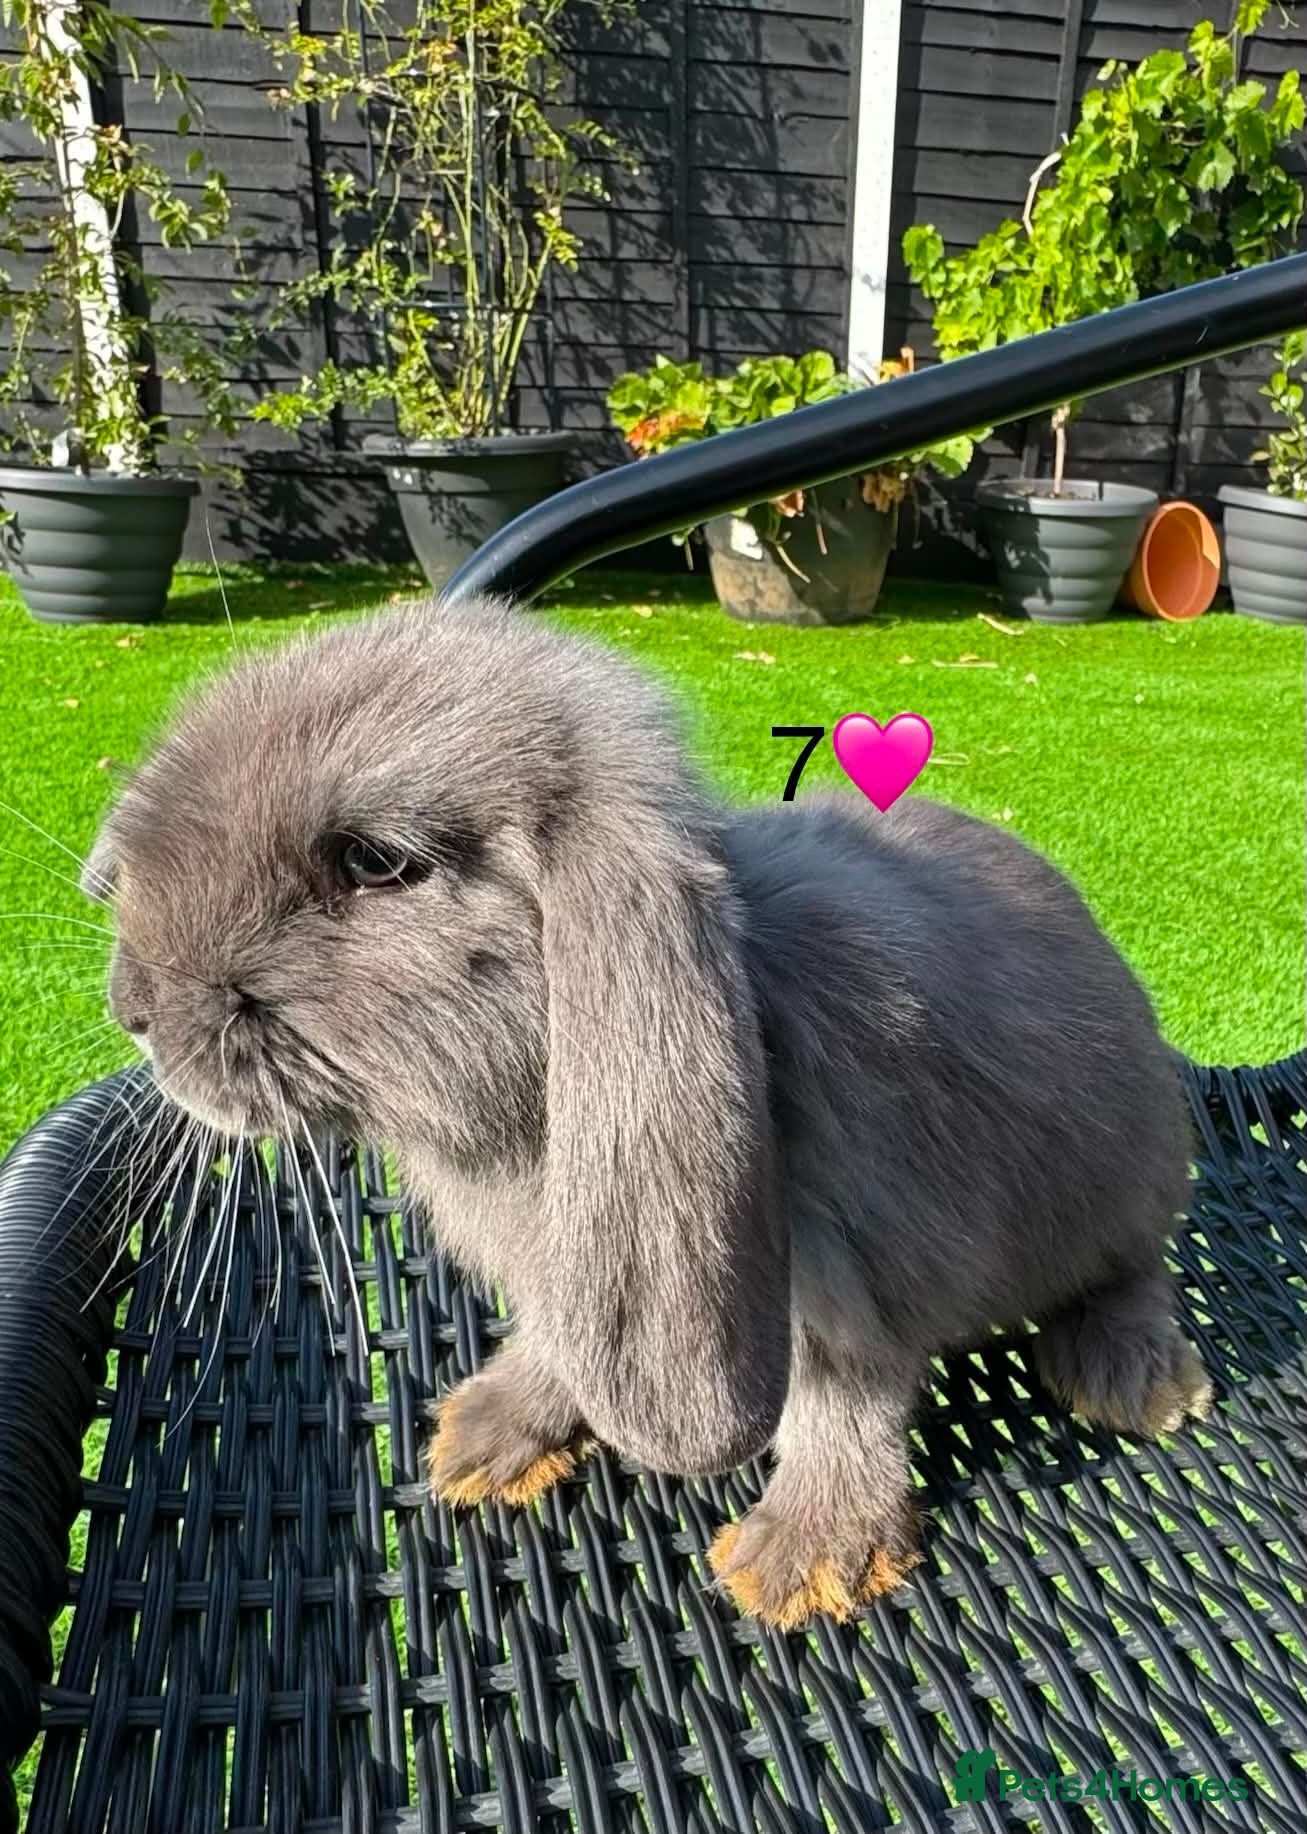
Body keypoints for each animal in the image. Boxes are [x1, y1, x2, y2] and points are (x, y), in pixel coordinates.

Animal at [84, 593, 1209, 1629]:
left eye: (373, 861)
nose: (135, 1009)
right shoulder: (575, 1278)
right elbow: (564, 1347)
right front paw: (488, 1436)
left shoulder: (855, 1273)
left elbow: (843, 1401)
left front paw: (800, 1563)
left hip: (1124, 1180)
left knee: (1131, 1270)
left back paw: (1136, 1379)